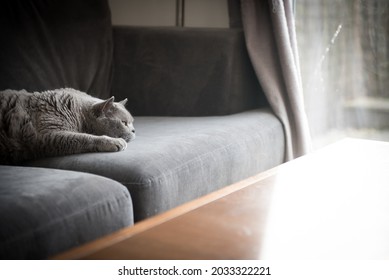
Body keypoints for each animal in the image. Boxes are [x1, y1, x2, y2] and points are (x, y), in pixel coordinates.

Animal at [0, 88, 135, 165]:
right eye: (124, 123)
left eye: (132, 122)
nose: (134, 130)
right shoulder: (47, 135)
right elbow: (85, 137)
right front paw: (114, 141)